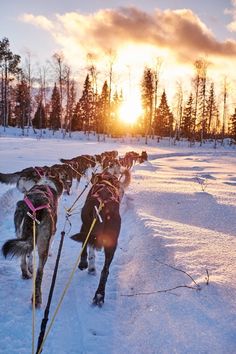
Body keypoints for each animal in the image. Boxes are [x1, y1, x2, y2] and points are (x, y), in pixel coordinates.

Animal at [1, 174, 63, 306]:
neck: (46, 184)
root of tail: (34, 208)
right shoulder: (52, 233)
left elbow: (28, 255)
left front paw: (29, 268)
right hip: (43, 246)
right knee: (39, 273)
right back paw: (37, 298)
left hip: (20, 232)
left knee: (23, 257)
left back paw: (25, 274)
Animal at [70, 167, 131, 306]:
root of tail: (103, 205)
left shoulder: (85, 228)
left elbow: (86, 249)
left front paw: (87, 265)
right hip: (112, 243)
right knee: (105, 271)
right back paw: (99, 295)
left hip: (87, 227)